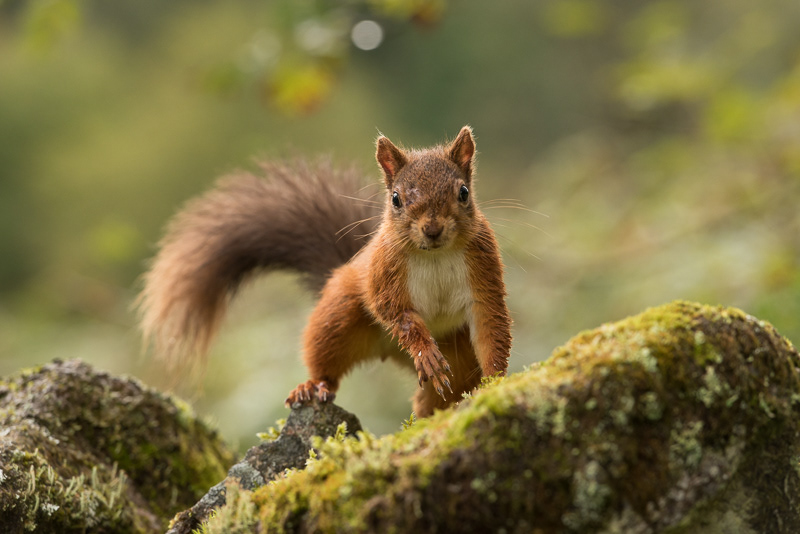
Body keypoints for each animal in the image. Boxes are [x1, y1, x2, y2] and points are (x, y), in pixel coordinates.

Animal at [137, 126, 512, 417]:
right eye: (396, 199)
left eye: (463, 192)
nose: (432, 230)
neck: (434, 255)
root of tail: (389, 353)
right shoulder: (382, 273)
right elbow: (394, 311)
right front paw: (424, 351)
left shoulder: (484, 268)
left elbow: (491, 323)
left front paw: (496, 380)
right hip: (339, 315)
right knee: (328, 360)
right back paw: (312, 386)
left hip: (458, 356)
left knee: (437, 395)